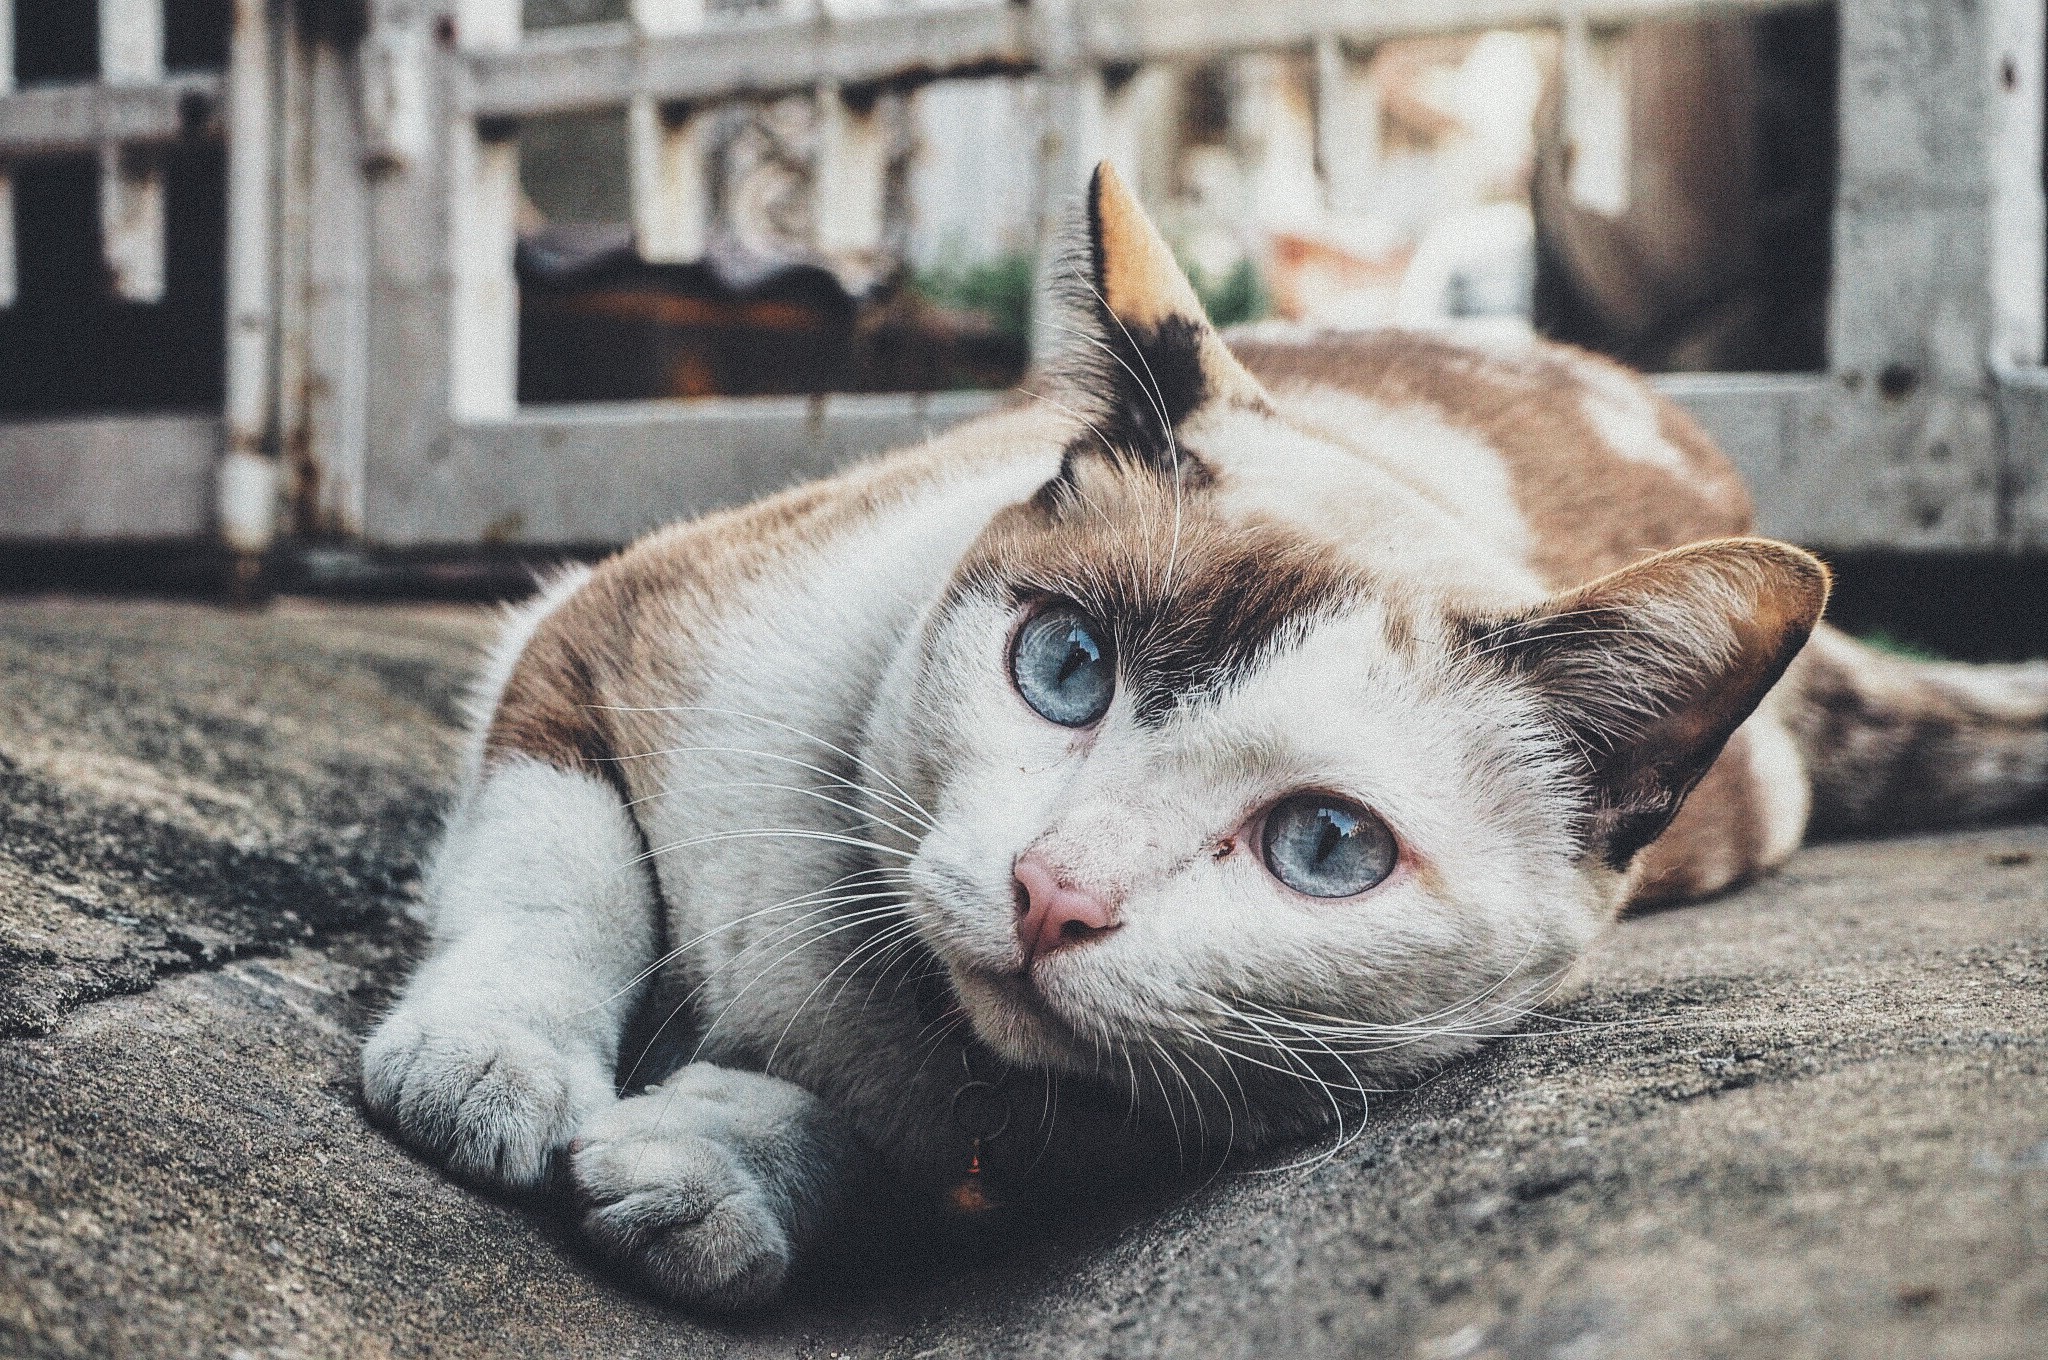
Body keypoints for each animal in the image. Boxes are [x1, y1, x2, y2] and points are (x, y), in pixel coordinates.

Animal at [368, 164, 2048, 1310]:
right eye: (1063, 666)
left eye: (1326, 846)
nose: (1053, 896)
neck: (882, 999)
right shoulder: (612, 621)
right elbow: (563, 873)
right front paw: (492, 1068)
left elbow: (891, 1162)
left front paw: (718, 1173)